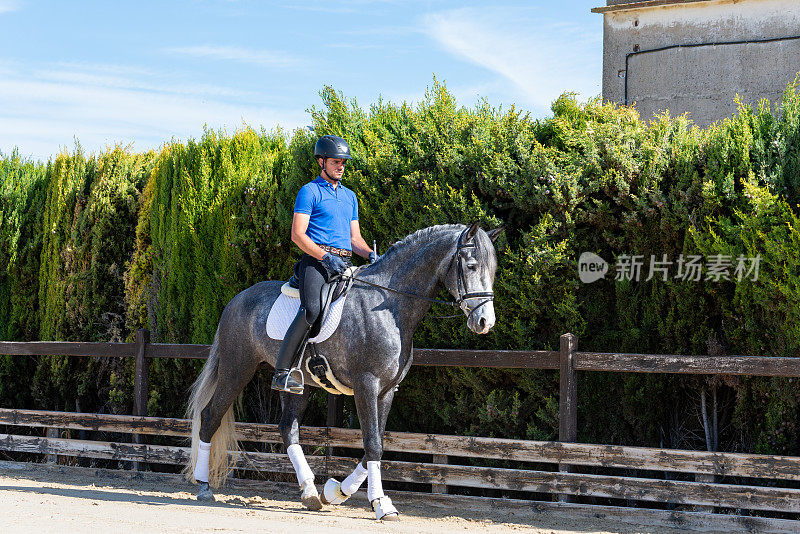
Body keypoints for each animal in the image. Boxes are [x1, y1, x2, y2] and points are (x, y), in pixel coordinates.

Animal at [184, 224, 504, 520]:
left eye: (493, 270)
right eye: (471, 265)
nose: (485, 322)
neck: (388, 306)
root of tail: (236, 300)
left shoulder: (387, 390)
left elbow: (376, 445)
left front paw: (336, 492)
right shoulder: (366, 385)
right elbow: (373, 445)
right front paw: (380, 505)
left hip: (298, 385)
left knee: (288, 429)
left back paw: (310, 493)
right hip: (237, 369)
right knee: (210, 417)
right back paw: (204, 487)